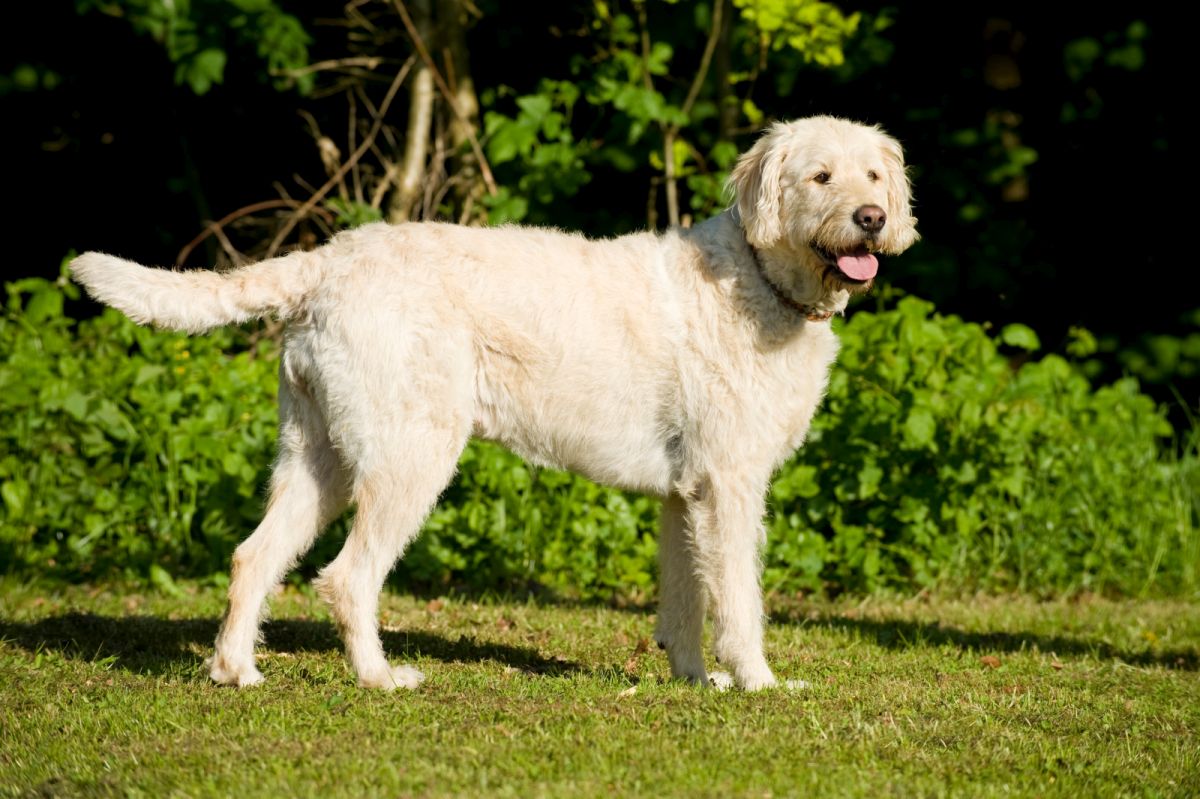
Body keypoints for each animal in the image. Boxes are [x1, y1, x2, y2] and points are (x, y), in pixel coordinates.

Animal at [70, 115, 916, 686]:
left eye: (873, 178)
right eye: (820, 177)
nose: (873, 219)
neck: (760, 277)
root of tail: (325, 260)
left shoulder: (687, 493)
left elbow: (684, 601)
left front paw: (694, 680)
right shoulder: (730, 485)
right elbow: (737, 598)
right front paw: (756, 682)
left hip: (319, 459)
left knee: (254, 555)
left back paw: (236, 669)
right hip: (410, 459)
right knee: (347, 576)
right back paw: (379, 677)